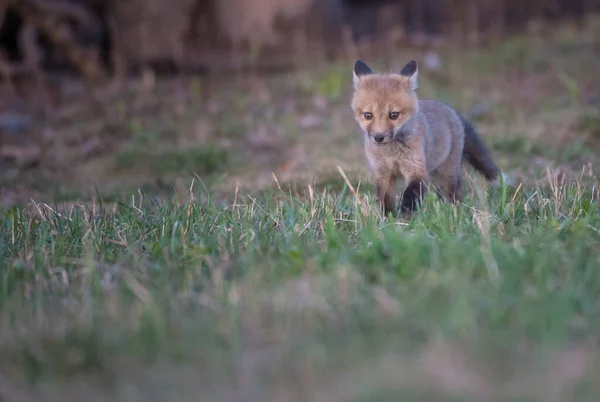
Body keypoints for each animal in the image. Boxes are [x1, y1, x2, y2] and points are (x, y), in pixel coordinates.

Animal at [350, 59, 500, 217]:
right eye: (368, 115)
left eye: (394, 115)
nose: (379, 137)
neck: (391, 154)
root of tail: (450, 109)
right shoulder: (383, 174)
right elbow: (385, 201)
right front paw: (386, 219)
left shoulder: (417, 169)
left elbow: (410, 196)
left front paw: (405, 219)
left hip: (446, 175)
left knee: (455, 193)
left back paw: (455, 213)